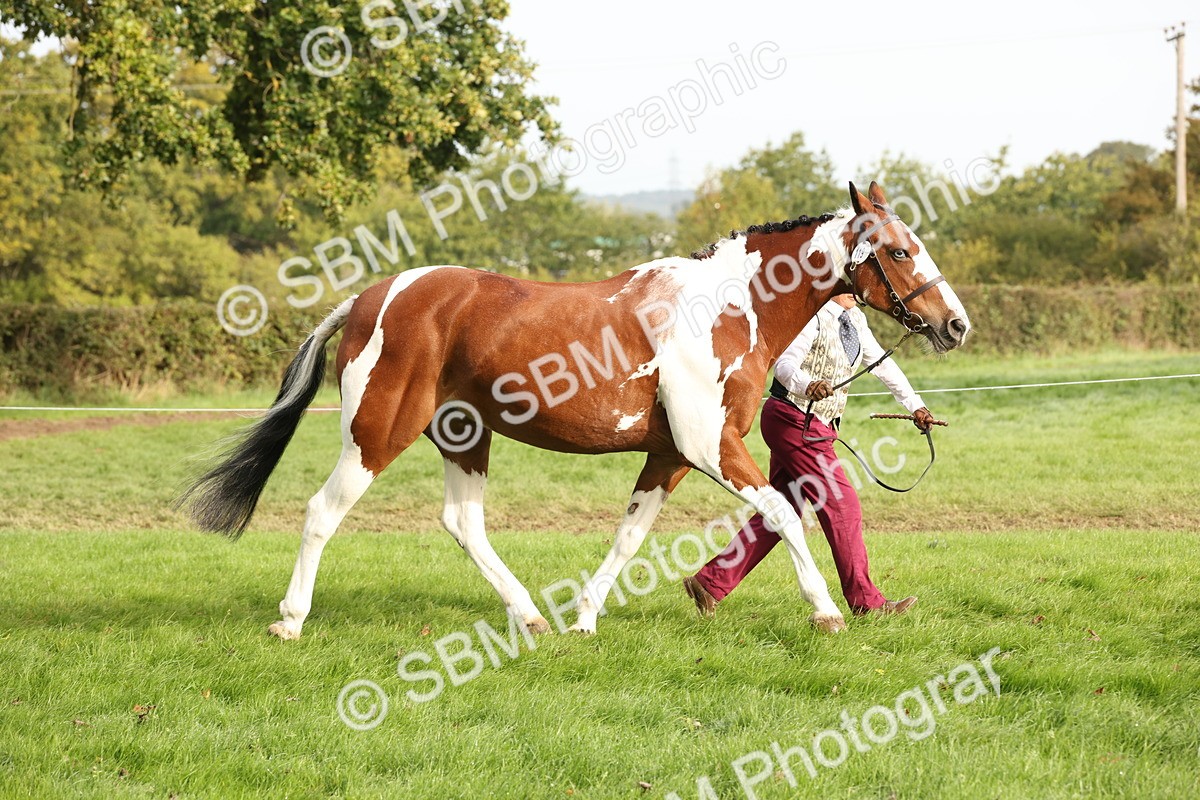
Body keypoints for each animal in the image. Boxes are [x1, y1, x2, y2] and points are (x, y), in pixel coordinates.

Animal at [179, 181, 970, 639]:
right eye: (901, 251)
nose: (955, 324)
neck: (727, 307)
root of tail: (370, 298)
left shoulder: (669, 455)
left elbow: (629, 537)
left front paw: (586, 619)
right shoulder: (709, 446)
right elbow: (781, 511)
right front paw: (827, 612)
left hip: (464, 437)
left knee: (462, 523)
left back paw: (531, 615)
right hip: (375, 434)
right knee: (322, 511)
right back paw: (290, 621)